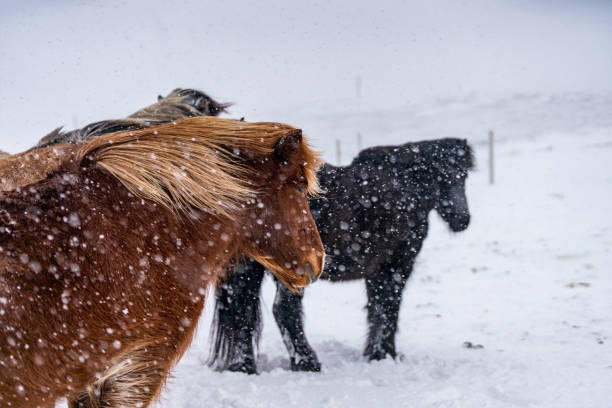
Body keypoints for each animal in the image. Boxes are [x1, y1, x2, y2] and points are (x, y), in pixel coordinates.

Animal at [209, 139, 474, 374]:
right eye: (442, 176)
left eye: (463, 176)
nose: (462, 219)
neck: (405, 185)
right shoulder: (397, 266)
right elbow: (389, 307)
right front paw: (384, 354)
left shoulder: (377, 270)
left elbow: (377, 307)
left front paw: (377, 353)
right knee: (283, 310)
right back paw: (307, 363)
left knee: (243, 312)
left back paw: (244, 367)